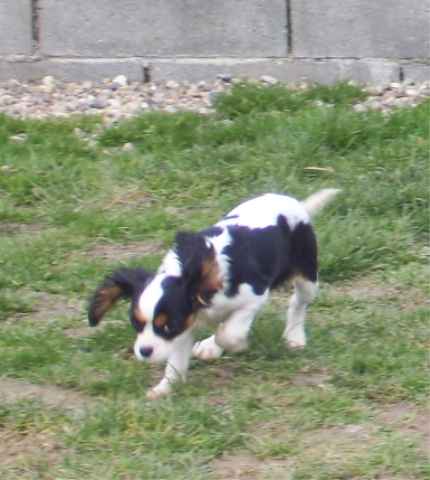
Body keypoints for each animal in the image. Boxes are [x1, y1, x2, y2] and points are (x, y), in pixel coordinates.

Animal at [88, 189, 340, 399]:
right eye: (136, 324)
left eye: (167, 326)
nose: (144, 351)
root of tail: (294, 203)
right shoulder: (187, 324)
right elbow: (177, 361)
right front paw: (165, 388)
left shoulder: (252, 298)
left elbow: (228, 333)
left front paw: (236, 345)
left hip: (307, 275)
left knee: (297, 303)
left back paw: (294, 336)